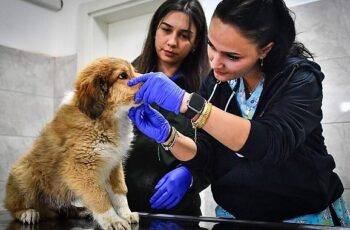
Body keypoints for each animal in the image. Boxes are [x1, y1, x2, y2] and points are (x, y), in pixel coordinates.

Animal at [4, 57, 139, 230]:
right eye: (122, 75)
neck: (106, 118)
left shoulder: (114, 164)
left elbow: (120, 190)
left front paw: (126, 214)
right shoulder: (79, 168)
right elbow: (99, 194)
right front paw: (112, 220)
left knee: (64, 209)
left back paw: (81, 211)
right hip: (24, 172)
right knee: (13, 205)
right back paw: (27, 213)